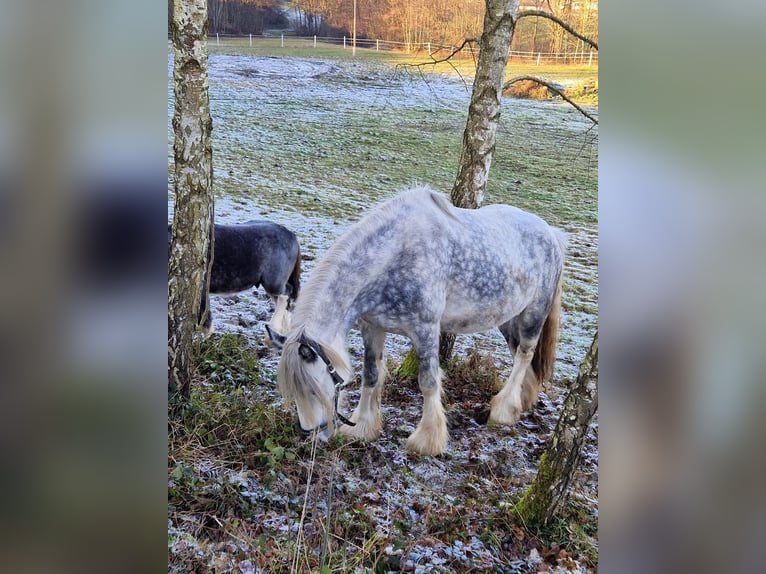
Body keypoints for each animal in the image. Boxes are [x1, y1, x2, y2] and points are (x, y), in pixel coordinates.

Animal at [267, 186, 566, 456]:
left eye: (312, 386)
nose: (311, 431)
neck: (396, 255)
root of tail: (551, 234)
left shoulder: (426, 329)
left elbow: (428, 381)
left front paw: (427, 440)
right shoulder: (372, 327)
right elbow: (371, 375)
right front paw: (362, 428)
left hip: (533, 314)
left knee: (525, 354)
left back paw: (503, 410)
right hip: (508, 318)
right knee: (519, 356)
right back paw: (521, 400)